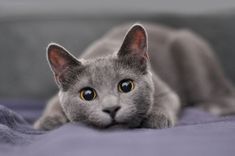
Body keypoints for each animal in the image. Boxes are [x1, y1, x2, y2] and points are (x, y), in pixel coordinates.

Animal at [34, 22, 235, 130]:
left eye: (126, 86)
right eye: (88, 94)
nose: (111, 108)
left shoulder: (165, 90)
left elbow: (166, 100)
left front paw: (156, 119)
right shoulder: (56, 97)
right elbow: (52, 104)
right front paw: (47, 122)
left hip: (188, 50)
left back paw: (213, 107)